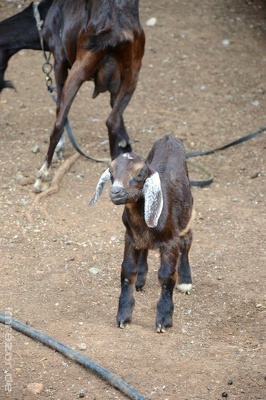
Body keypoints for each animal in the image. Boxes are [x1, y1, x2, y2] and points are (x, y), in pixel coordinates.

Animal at [90, 134, 193, 332]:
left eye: (139, 173)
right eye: (111, 172)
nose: (115, 192)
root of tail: (169, 138)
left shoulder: (170, 241)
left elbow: (166, 275)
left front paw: (163, 319)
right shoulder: (130, 237)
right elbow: (128, 270)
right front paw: (123, 315)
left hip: (187, 215)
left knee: (187, 241)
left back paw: (185, 280)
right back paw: (141, 279)